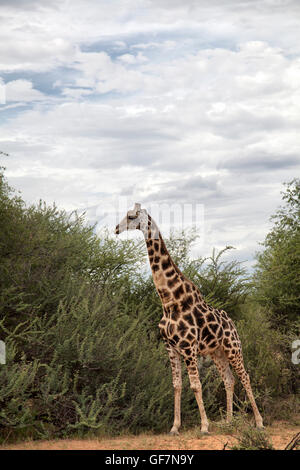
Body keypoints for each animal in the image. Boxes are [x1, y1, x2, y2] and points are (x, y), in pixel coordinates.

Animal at [115, 202, 262, 434]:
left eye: (130, 217)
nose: (116, 229)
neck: (169, 302)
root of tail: (232, 322)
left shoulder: (188, 346)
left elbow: (195, 385)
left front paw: (204, 426)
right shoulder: (170, 347)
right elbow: (177, 385)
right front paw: (175, 427)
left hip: (233, 347)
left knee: (244, 376)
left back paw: (259, 422)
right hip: (216, 352)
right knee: (229, 379)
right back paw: (229, 421)